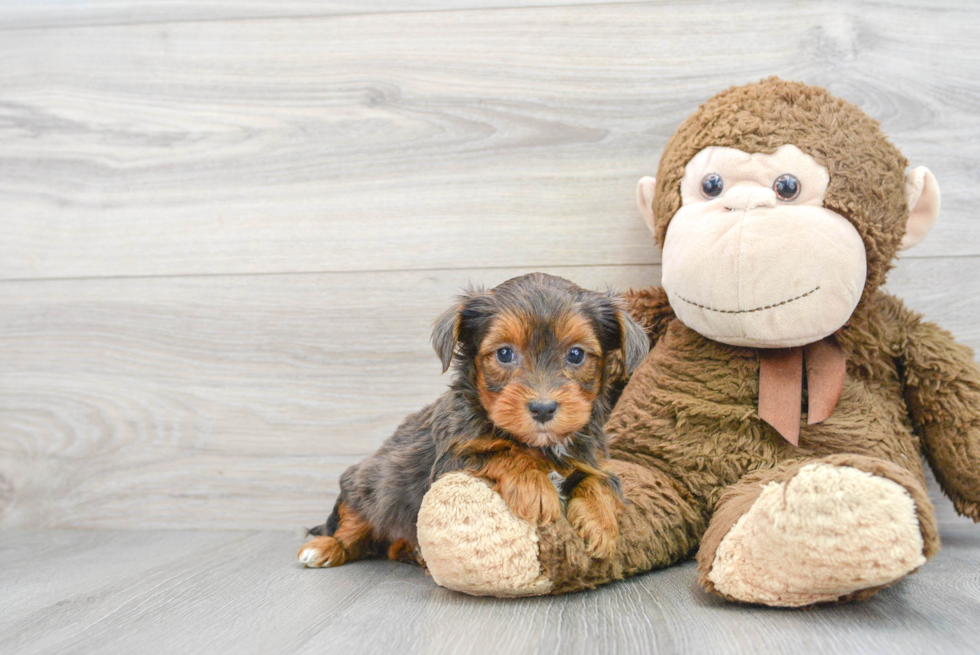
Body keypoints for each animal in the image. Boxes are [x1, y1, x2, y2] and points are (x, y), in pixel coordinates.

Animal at [298, 272, 652, 568]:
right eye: (505, 353)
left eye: (576, 354)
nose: (543, 408)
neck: (540, 445)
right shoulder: (450, 462)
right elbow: (501, 453)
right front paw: (536, 487)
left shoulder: (591, 459)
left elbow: (602, 480)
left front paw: (601, 523)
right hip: (366, 485)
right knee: (351, 527)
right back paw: (324, 548)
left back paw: (412, 551)